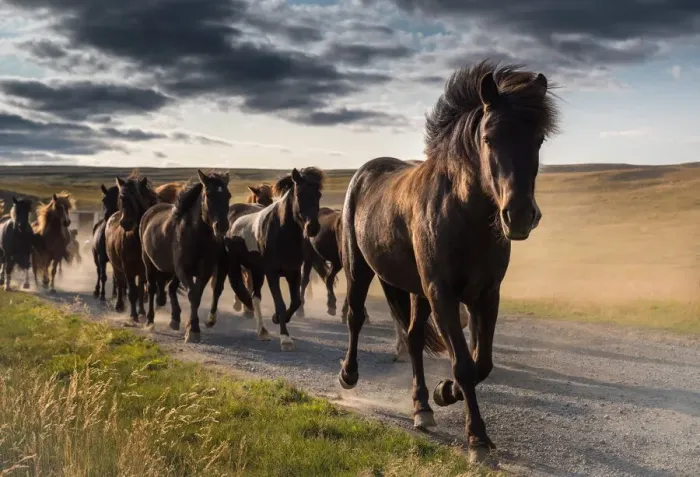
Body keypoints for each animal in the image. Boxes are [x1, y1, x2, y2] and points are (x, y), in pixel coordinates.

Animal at [105, 175, 157, 320]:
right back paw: (119, 305)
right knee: (120, 283)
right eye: (122, 198)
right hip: (116, 266)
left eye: (137, 198)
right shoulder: (128, 268)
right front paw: (133, 316)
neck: (136, 241)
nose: (126, 223)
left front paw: (142, 312)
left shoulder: (144, 269)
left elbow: (140, 290)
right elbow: (132, 291)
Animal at [140, 170, 241, 342]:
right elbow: (192, 294)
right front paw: (193, 330)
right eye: (208, 194)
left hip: (173, 271)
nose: (222, 226)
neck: (196, 236)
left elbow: (197, 296)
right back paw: (149, 321)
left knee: (171, 287)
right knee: (152, 289)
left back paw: (174, 319)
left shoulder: (204, 272)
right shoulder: (184, 270)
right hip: (149, 264)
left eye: (228, 195)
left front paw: (191, 327)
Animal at [221, 168, 323, 351]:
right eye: (299, 193)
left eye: (318, 194)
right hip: (238, 266)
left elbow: (296, 301)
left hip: (257, 271)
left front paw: (277, 318)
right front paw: (285, 339)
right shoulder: (272, 273)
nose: (312, 228)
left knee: (255, 296)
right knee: (243, 290)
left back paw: (263, 332)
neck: (282, 233)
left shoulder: (293, 272)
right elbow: (280, 303)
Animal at [338, 60, 559, 460]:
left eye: (538, 140)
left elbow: (481, 363)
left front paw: (444, 393)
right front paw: (477, 440)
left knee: (412, 337)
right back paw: (348, 375)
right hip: (359, 269)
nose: (519, 216)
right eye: (488, 137)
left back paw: (422, 407)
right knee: (355, 316)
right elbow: (465, 365)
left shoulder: (485, 295)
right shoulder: (443, 295)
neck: (464, 214)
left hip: (416, 291)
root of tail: (366, 172)